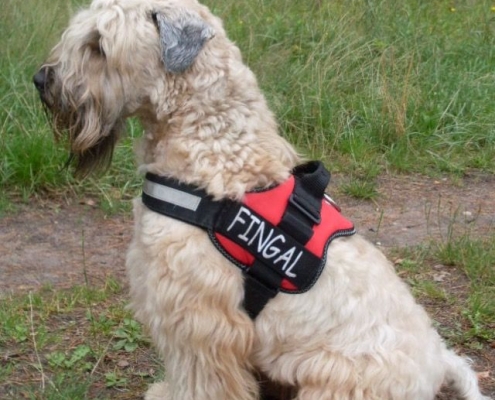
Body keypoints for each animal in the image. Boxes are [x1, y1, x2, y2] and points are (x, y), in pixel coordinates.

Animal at [35, 0, 492, 400]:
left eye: (98, 44)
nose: (41, 79)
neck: (215, 143)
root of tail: (438, 362)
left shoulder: (199, 323)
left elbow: (199, 383)